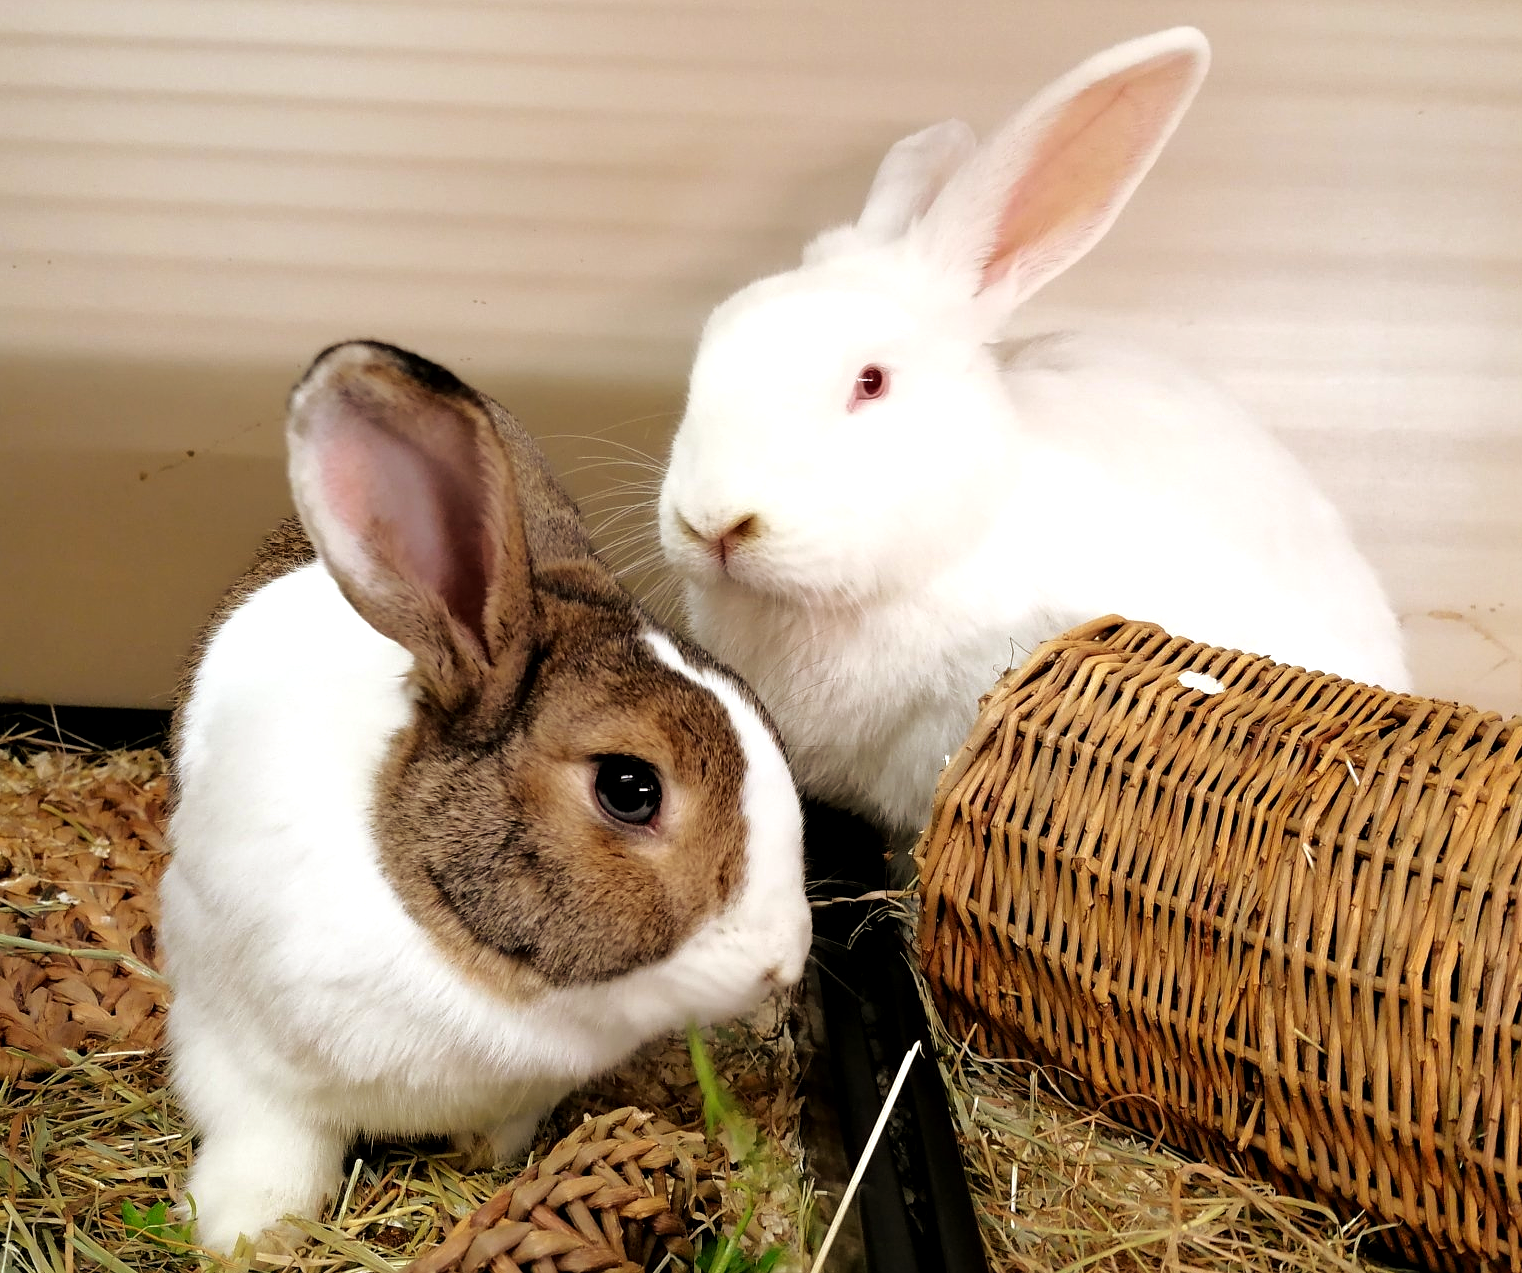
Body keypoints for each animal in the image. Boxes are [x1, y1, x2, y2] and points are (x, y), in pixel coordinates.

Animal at [158, 341, 813, 1255]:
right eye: (629, 787)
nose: (784, 961)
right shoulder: (238, 1055)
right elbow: (273, 1147)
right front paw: (240, 1235)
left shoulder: (522, 1094)